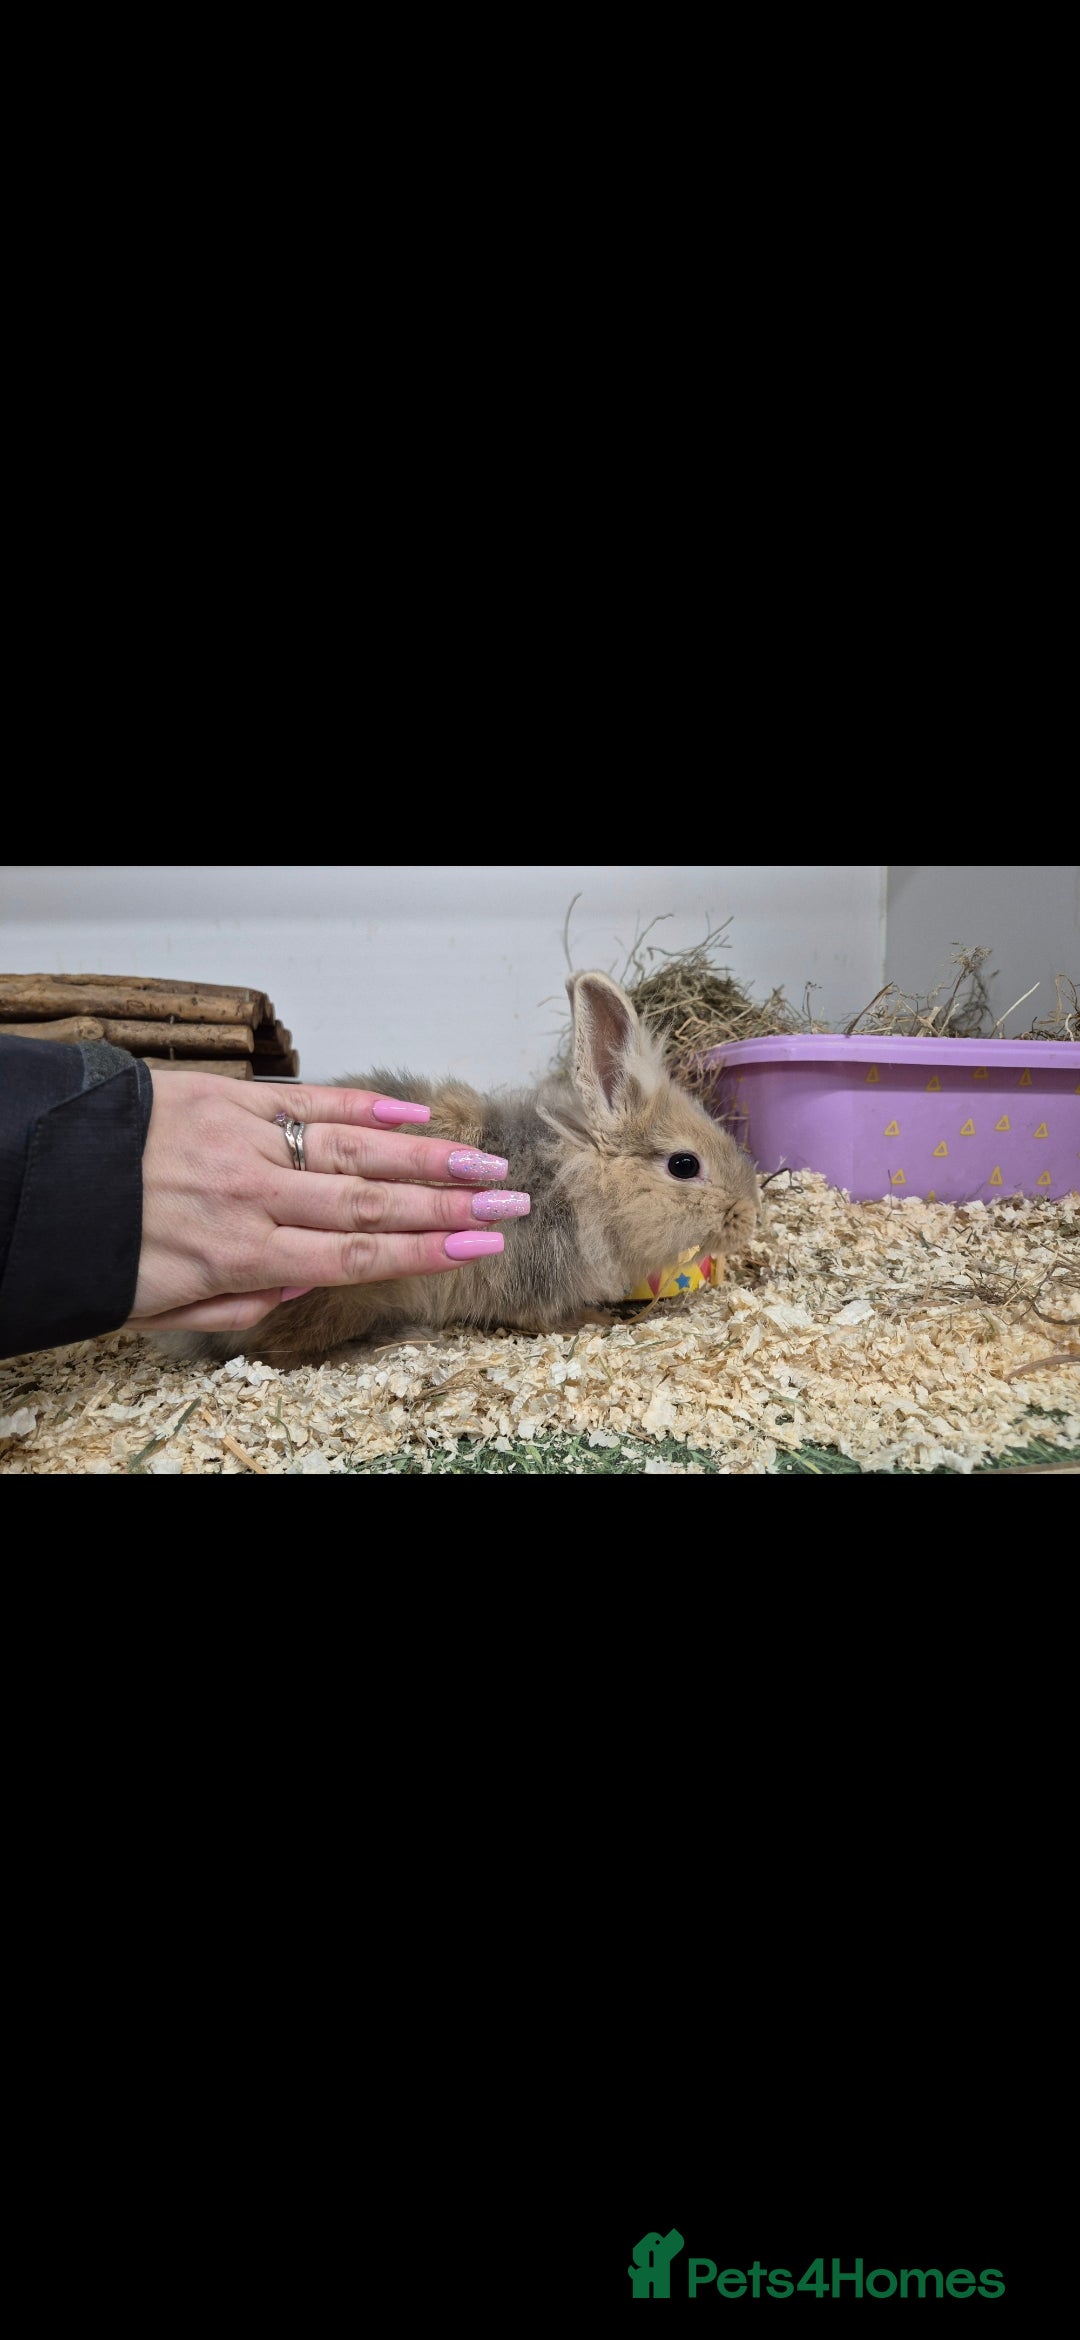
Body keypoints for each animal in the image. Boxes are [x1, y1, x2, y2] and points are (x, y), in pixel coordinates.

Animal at [158, 969, 761, 1369]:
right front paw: (596, 1322)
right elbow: (542, 1320)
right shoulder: (532, 1284)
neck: (578, 1183)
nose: (750, 1216)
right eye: (684, 1165)